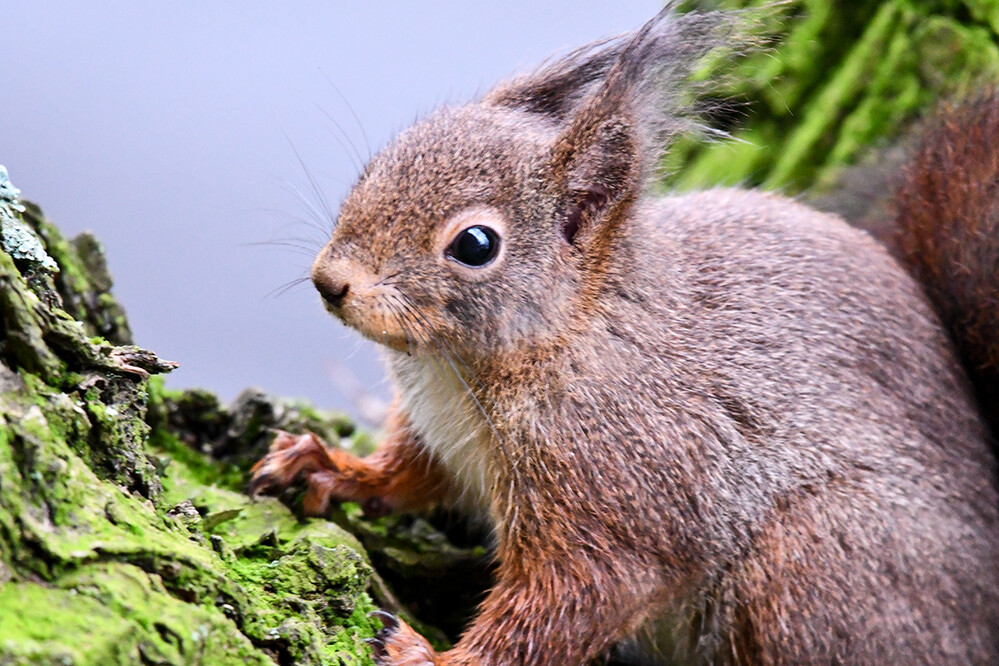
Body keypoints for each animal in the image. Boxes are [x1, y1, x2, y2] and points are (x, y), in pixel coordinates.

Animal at [250, 6, 999, 664]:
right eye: (377, 167)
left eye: (474, 245)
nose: (330, 282)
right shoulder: (440, 437)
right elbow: (409, 475)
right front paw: (333, 467)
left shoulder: (616, 483)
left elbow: (572, 600)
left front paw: (426, 657)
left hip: (813, 563)